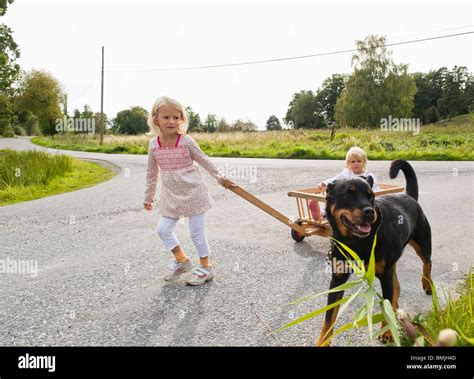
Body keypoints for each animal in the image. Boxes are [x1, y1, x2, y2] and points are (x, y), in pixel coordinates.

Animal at [314, 160, 434, 348]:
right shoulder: (338, 279)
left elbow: (385, 303)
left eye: (371, 196)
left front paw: (387, 332)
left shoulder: (384, 275)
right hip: (393, 263)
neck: (355, 242)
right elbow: (329, 316)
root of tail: (409, 196)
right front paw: (322, 341)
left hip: (422, 242)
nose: (370, 211)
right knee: (397, 285)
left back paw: (427, 284)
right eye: (348, 195)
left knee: (427, 262)